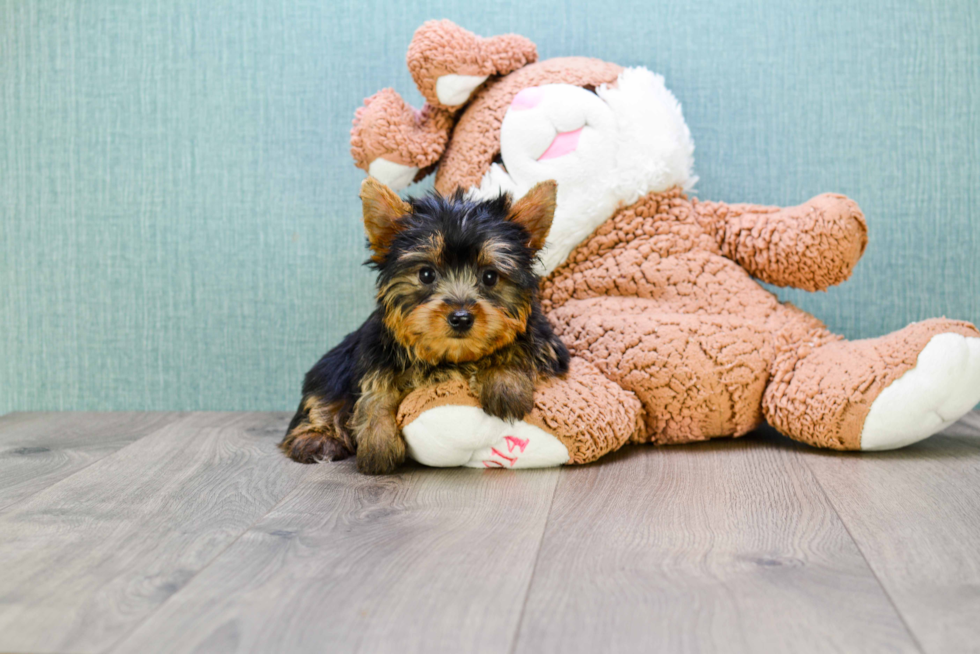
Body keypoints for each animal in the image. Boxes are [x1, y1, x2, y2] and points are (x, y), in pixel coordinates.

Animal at [280, 179, 572, 476]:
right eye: (426, 274)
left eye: (490, 277)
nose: (461, 317)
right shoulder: (375, 345)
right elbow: (376, 383)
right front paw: (378, 441)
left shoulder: (547, 341)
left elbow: (519, 345)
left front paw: (505, 384)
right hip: (335, 361)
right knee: (325, 389)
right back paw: (317, 438)